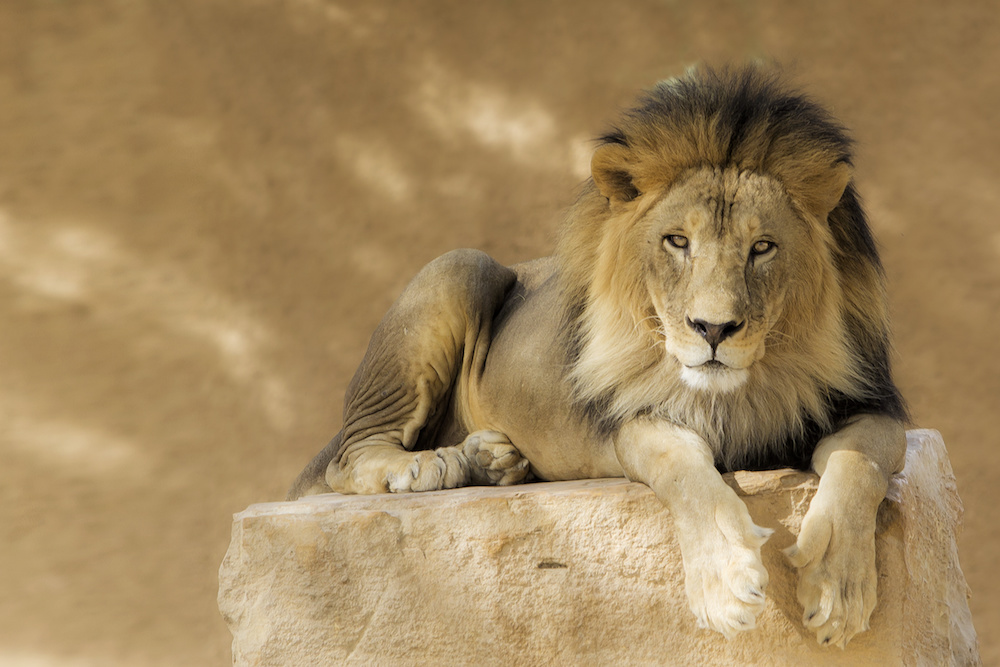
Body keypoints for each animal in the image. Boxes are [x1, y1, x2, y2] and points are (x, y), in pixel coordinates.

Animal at [288, 66, 908, 648]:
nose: (713, 329)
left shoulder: (874, 406)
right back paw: (422, 466)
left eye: (762, 248)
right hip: (459, 265)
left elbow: (860, 463)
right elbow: (684, 470)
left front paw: (837, 589)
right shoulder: (628, 424)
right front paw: (725, 584)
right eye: (678, 241)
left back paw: (491, 461)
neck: (742, 391)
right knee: (348, 457)